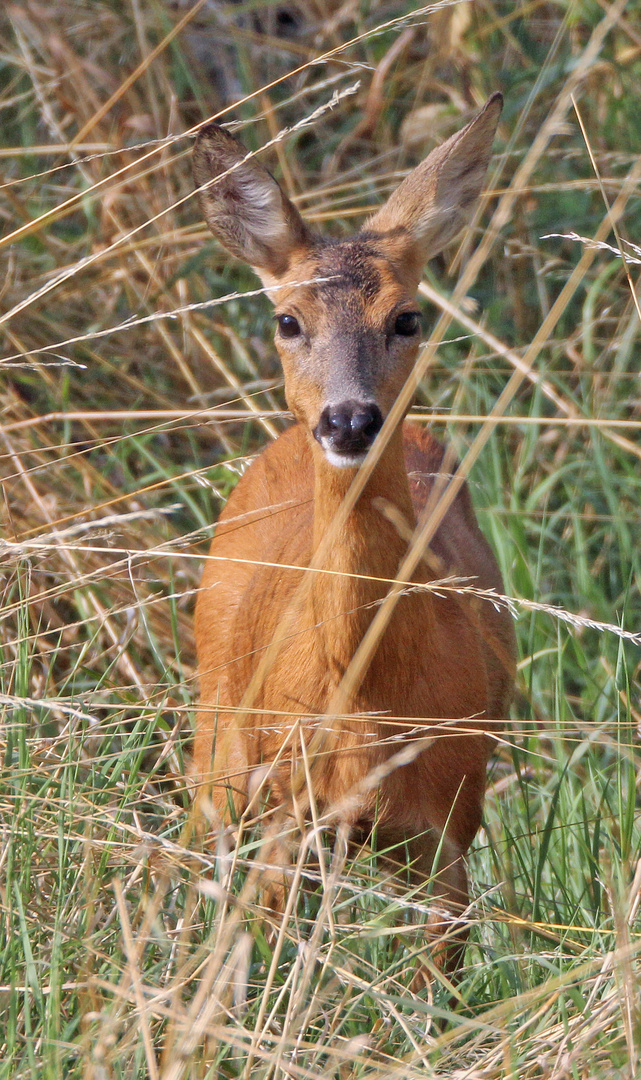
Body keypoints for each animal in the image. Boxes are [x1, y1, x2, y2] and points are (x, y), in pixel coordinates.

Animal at [189, 95, 513, 972]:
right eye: (286, 319)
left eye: (406, 317)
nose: (348, 419)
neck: (363, 696)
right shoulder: (284, 811)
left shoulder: (450, 820)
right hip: (217, 736)